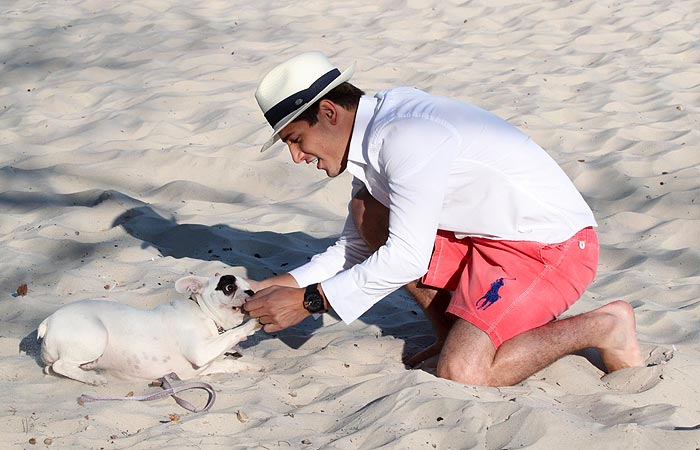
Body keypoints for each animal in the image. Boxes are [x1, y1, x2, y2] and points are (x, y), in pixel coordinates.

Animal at [36, 274, 260, 386]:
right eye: (229, 288)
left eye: (249, 286)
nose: (251, 292)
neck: (205, 314)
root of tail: (48, 321)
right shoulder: (201, 352)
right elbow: (233, 334)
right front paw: (253, 323)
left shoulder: (204, 365)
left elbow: (229, 362)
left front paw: (253, 366)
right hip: (96, 336)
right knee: (61, 365)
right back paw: (93, 379)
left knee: (54, 368)